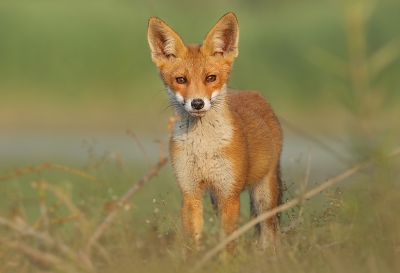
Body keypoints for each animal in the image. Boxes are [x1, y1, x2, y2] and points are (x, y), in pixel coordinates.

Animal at [146, 12, 282, 251]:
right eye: (181, 80)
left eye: (211, 78)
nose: (197, 103)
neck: (204, 149)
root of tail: (253, 93)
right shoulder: (190, 193)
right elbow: (194, 243)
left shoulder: (229, 195)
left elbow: (227, 244)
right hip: (215, 199)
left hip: (264, 197)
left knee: (269, 236)